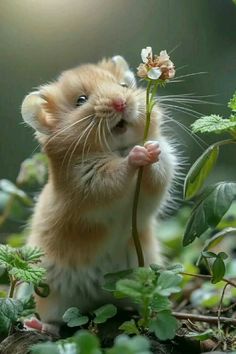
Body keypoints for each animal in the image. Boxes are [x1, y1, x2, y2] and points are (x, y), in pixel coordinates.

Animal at [21, 56, 177, 334]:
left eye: (124, 85)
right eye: (81, 100)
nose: (121, 103)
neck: (116, 148)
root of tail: (98, 300)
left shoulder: (164, 171)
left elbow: (159, 170)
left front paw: (150, 149)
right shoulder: (88, 181)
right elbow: (116, 174)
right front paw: (137, 155)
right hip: (50, 293)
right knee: (54, 322)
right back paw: (34, 324)